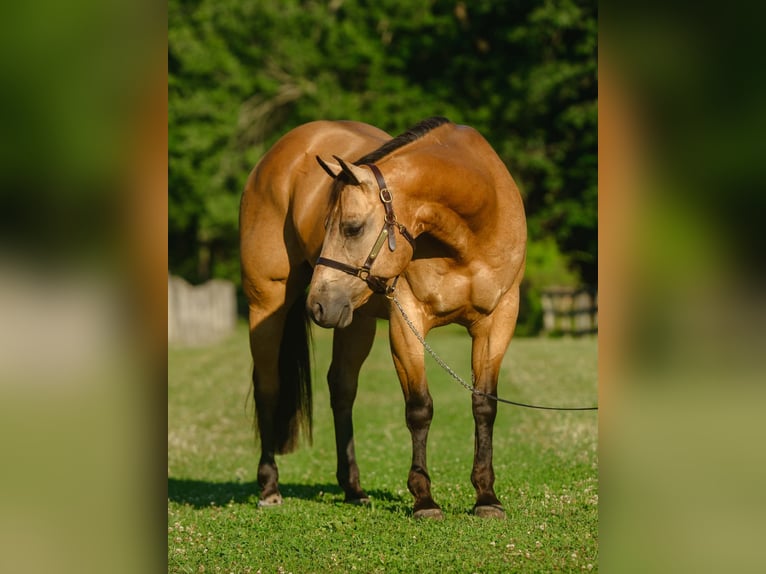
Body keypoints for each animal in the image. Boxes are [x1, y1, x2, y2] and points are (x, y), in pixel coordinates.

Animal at [239, 117, 526, 519]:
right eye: (325, 225)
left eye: (352, 227)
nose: (317, 305)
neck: (472, 233)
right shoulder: (407, 325)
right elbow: (419, 408)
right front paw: (424, 499)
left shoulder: (497, 323)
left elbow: (484, 405)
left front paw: (486, 497)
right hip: (267, 303)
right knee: (269, 386)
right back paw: (269, 487)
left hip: (353, 319)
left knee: (341, 388)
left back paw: (353, 488)